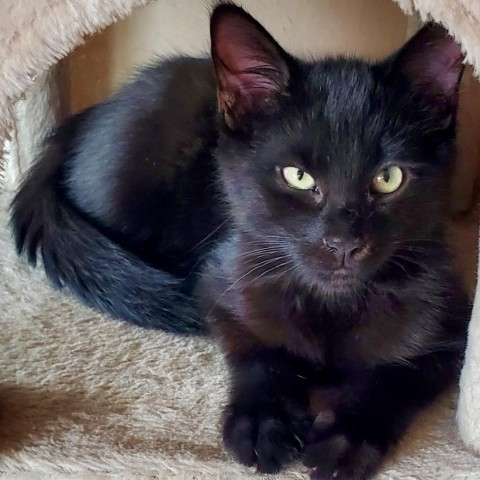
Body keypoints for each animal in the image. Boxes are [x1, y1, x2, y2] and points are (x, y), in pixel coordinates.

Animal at [9, 3, 470, 480]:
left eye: (389, 178)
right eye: (297, 176)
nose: (342, 243)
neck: (330, 304)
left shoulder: (449, 320)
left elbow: (398, 375)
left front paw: (347, 436)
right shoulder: (224, 280)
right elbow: (257, 350)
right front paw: (264, 419)